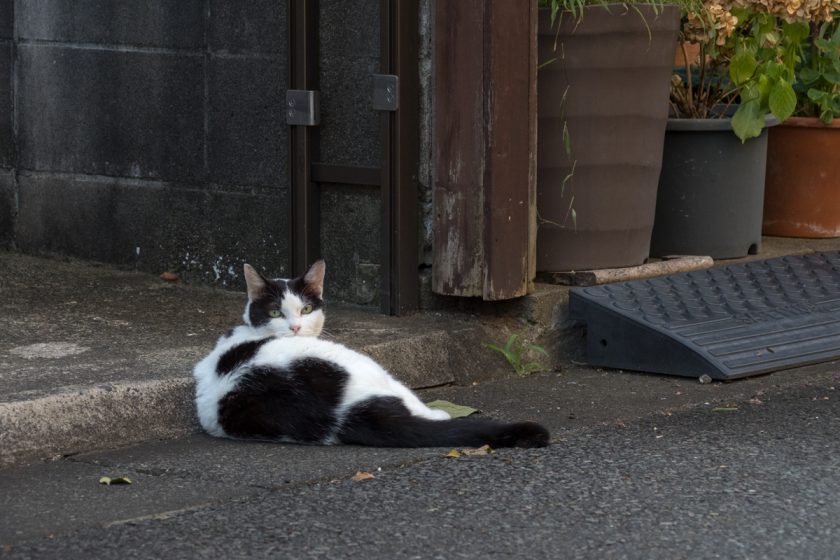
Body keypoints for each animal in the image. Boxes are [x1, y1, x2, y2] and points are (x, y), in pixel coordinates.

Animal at [195, 260, 552, 448]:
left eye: (306, 309)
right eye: (274, 312)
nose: (295, 328)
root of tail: (341, 418)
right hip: (365, 366)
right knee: (411, 401)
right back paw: (438, 414)